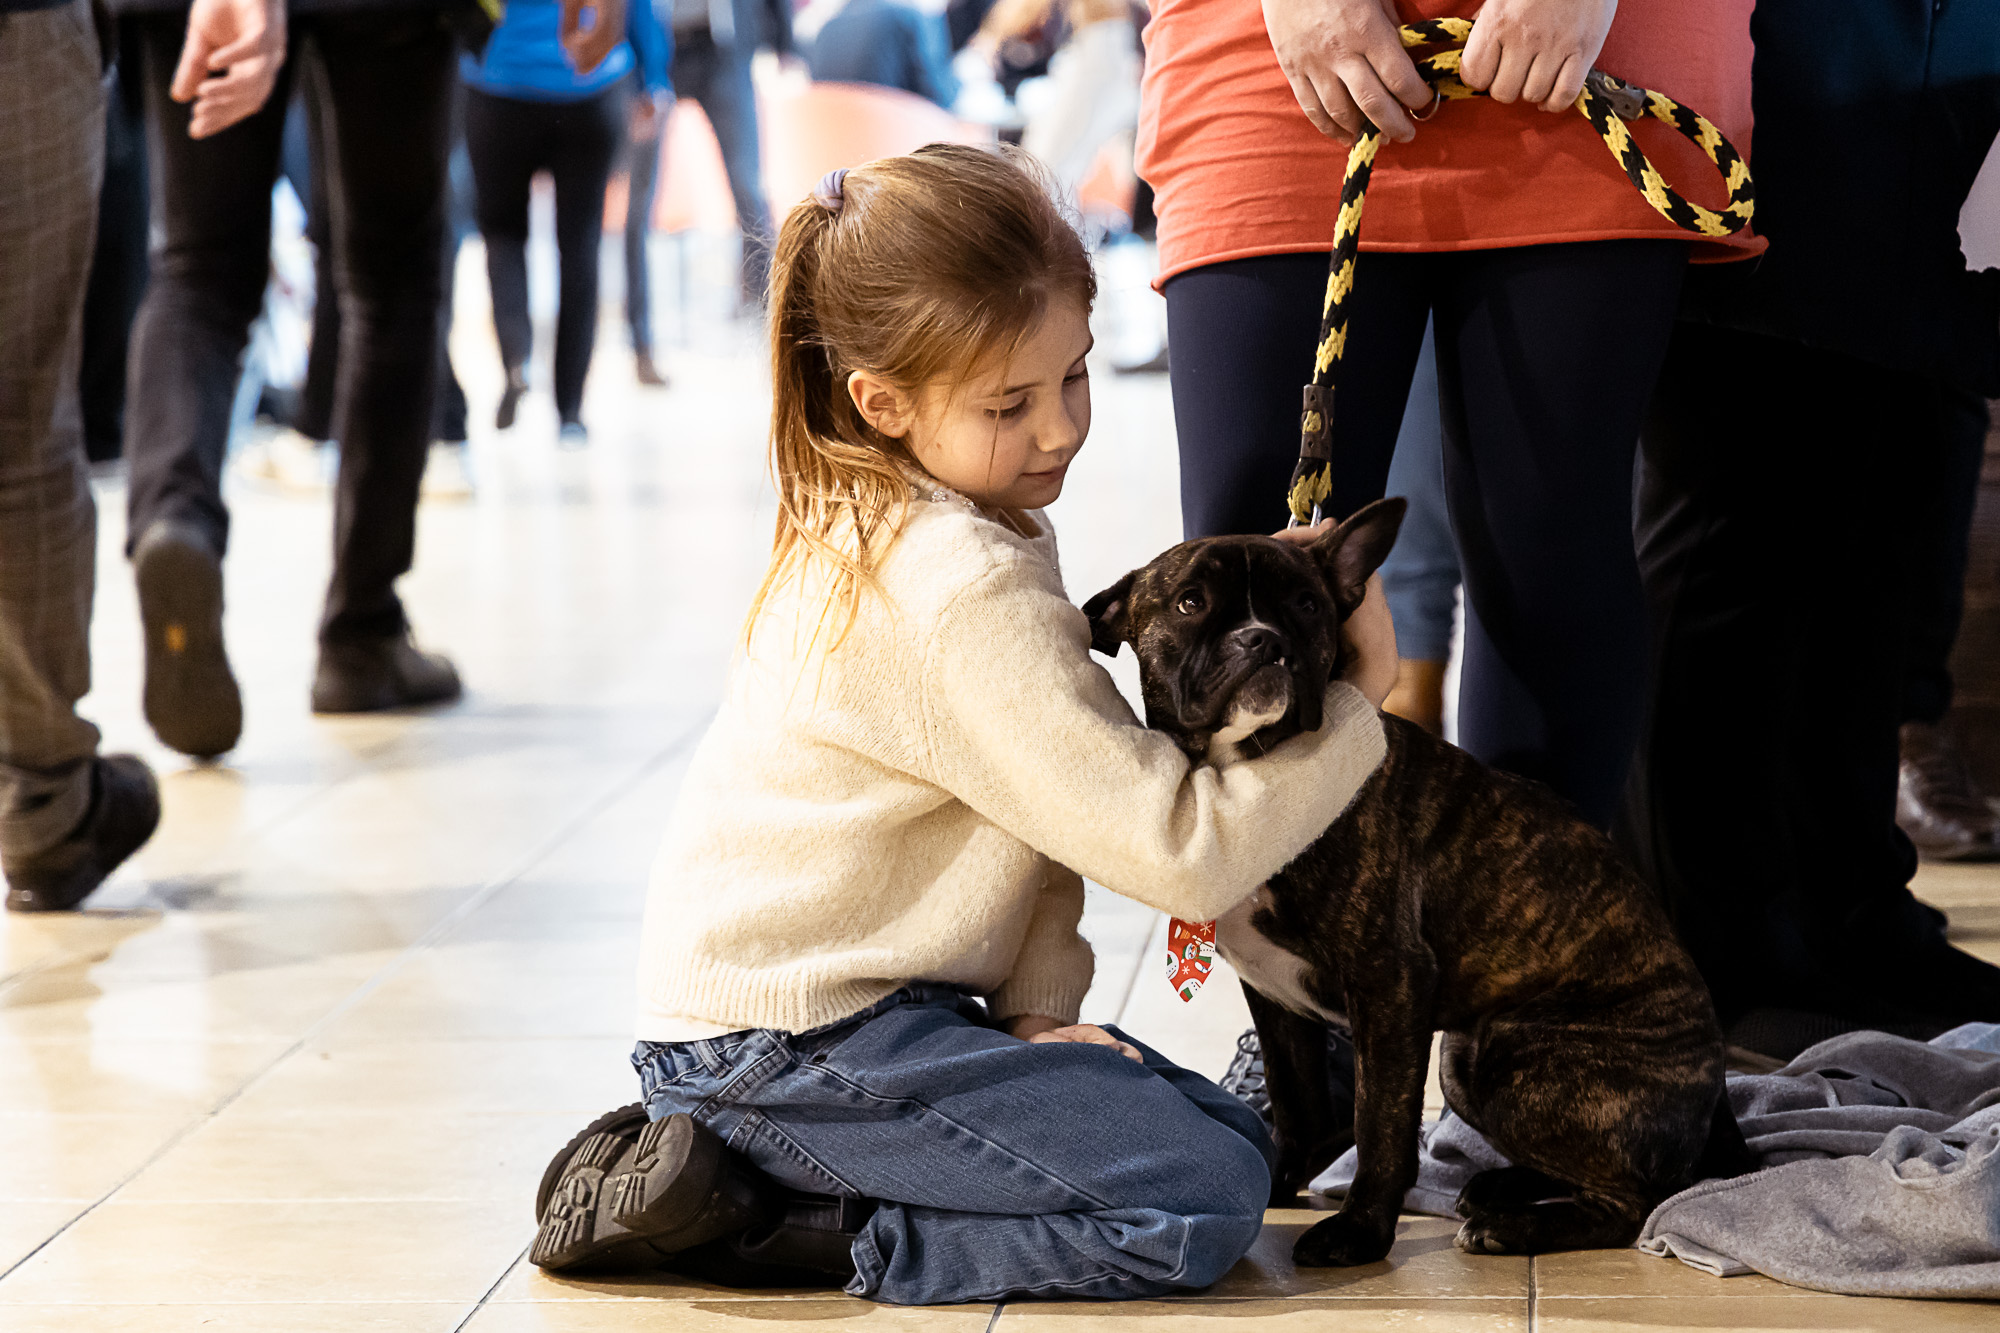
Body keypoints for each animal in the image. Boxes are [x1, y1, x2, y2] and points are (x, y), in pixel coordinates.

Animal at [1083, 499, 1748, 1266]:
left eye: (1307, 606)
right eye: (1191, 603)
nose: (1264, 640)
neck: (1246, 773)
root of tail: (1714, 1095)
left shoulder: (1389, 987)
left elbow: (1381, 1123)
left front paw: (1359, 1232)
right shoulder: (1276, 1003)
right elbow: (1297, 1100)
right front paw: (1277, 1180)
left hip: (1502, 1062)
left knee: (1634, 1201)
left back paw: (1513, 1225)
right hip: (1468, 1058)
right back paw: (1499, 1186)